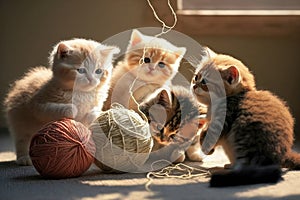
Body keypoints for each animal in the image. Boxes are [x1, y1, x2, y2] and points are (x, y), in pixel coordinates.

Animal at [191, 48, 298, 186]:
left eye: (204, 82)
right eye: (196, 77)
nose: (194, 85)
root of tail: (283, 155)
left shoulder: (223, 119)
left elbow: (207, 135)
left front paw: (206, 148)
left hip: (245, 142)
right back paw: (230, 166)